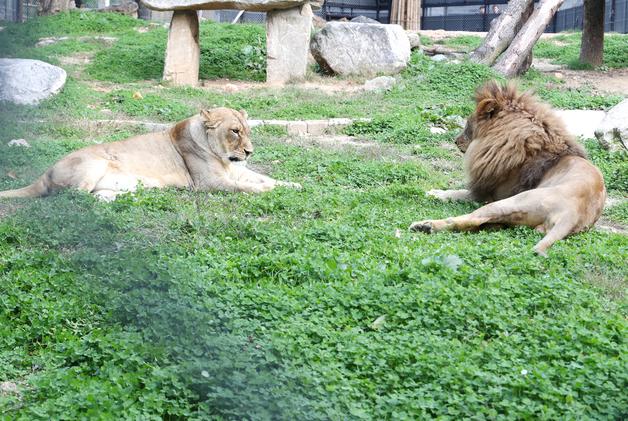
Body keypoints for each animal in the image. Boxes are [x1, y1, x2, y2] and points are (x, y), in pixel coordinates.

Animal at [0, 107, 302, 201]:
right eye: (235, 131)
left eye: (247, 131)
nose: (250, 151)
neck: (224, 158)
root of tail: (44, 173)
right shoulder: (208, 183)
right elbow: (245, 188)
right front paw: (266, 191)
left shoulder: (238, 170)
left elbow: (266, 178)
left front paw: (293, 184)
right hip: (94, 163)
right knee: (69, 197)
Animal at [410, 80, 604, 254]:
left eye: (467, 125)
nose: (456, 141)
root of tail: (573, 214)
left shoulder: (489, 193)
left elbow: (458, 192)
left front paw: (434, 193)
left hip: (509, 202)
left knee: (469, 220)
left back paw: (424, 225)